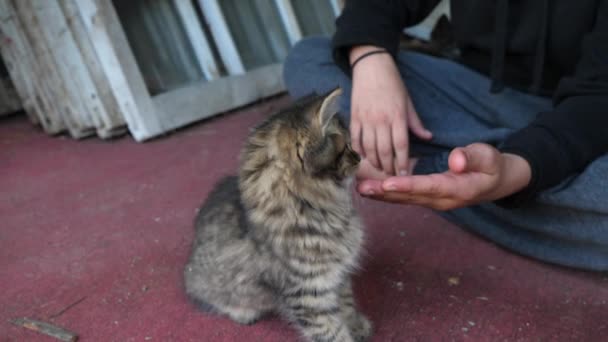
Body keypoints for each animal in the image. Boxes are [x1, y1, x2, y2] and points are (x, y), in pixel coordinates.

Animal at [183, 89, 372, 342]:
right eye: (345, 147)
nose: (359, 156)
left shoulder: (337, 277)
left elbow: (347, 305)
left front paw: (357, 326)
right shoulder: (306, 295)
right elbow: (331, 333)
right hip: (208, 284)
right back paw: (242, 312)